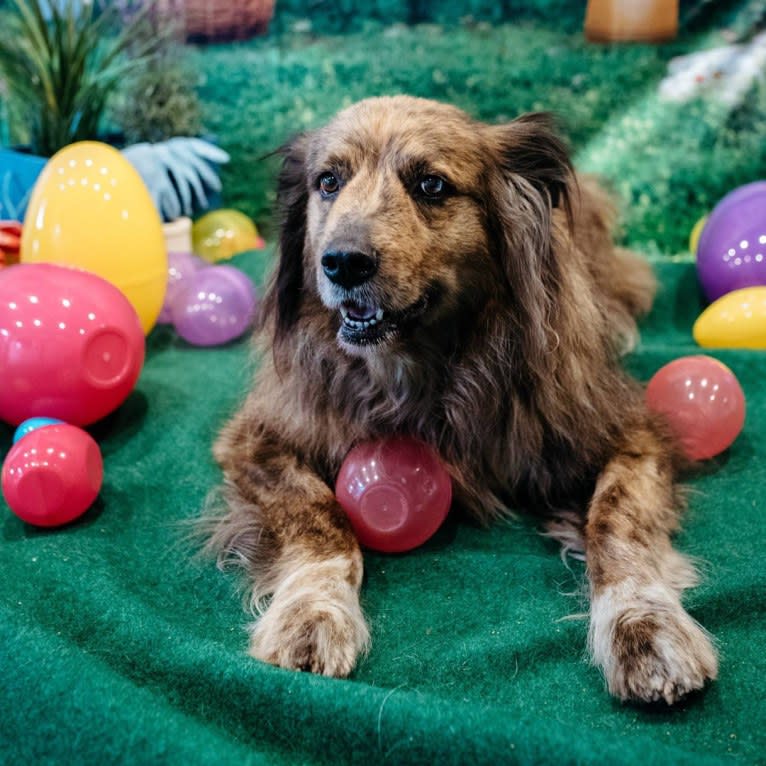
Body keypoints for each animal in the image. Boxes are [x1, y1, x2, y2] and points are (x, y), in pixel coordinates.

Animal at [210, 97, 720, 708]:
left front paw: (647, 624)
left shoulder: (633, 435)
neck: (431, 368)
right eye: (328, 181)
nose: (342, 262)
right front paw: (311, 612)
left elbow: (617, 523)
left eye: (431, 185)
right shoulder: (259, 436)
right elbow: (319, 516)